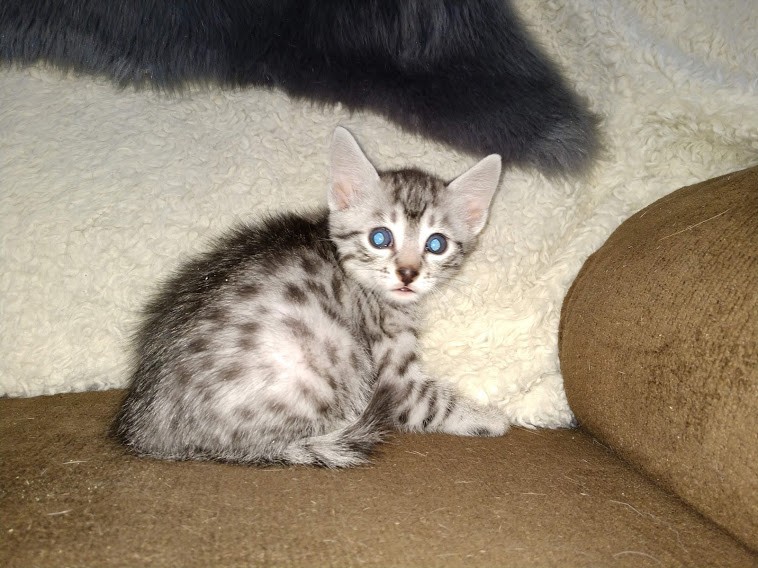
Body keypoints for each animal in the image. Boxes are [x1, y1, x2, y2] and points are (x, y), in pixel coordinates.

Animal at [112, 127, 509, 467]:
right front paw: (492, 417)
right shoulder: (397, 379)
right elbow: (433, 403)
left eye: (436, 244)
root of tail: (147, 432)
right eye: (380, 238)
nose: (408, 274)